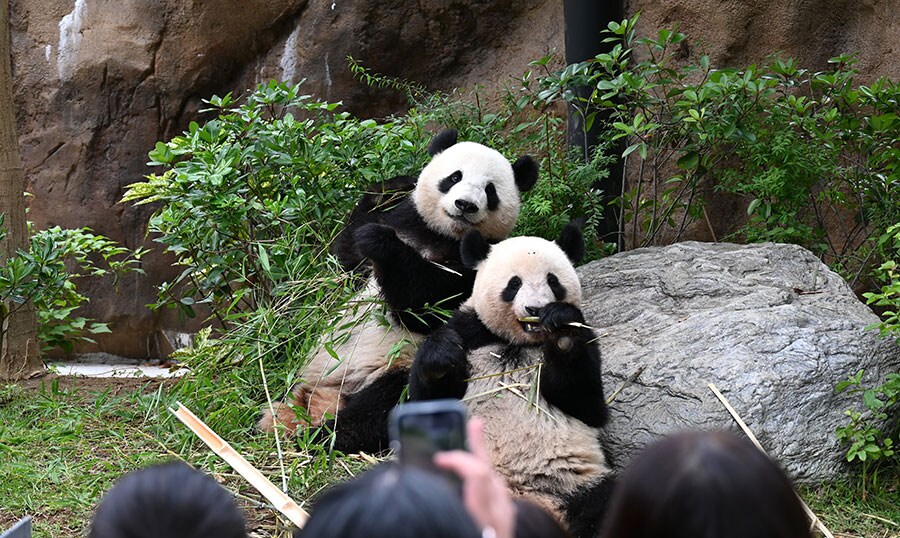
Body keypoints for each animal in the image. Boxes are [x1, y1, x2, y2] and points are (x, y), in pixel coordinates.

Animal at [256, 130, 536, 452]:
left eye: (490, 190)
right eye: (455, 177)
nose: (465, 205)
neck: (439, 236)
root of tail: (328, 400)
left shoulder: (476, 266)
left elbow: (426, 305)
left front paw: (382, 243)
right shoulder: (392, 232)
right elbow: (345, 257)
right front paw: (395, 186)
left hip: (394, 364)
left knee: (384, 406)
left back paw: (329, 435)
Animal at [408, 221, 612, 532]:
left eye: (552, 281)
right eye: (514, 284)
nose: (535, 310)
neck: (517, 343)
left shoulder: (586, 342)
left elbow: (587, 405)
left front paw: (561, 327)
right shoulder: (472, 331)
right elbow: (425, 401)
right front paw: (442, 354)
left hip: (579, 481)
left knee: (604, 502)